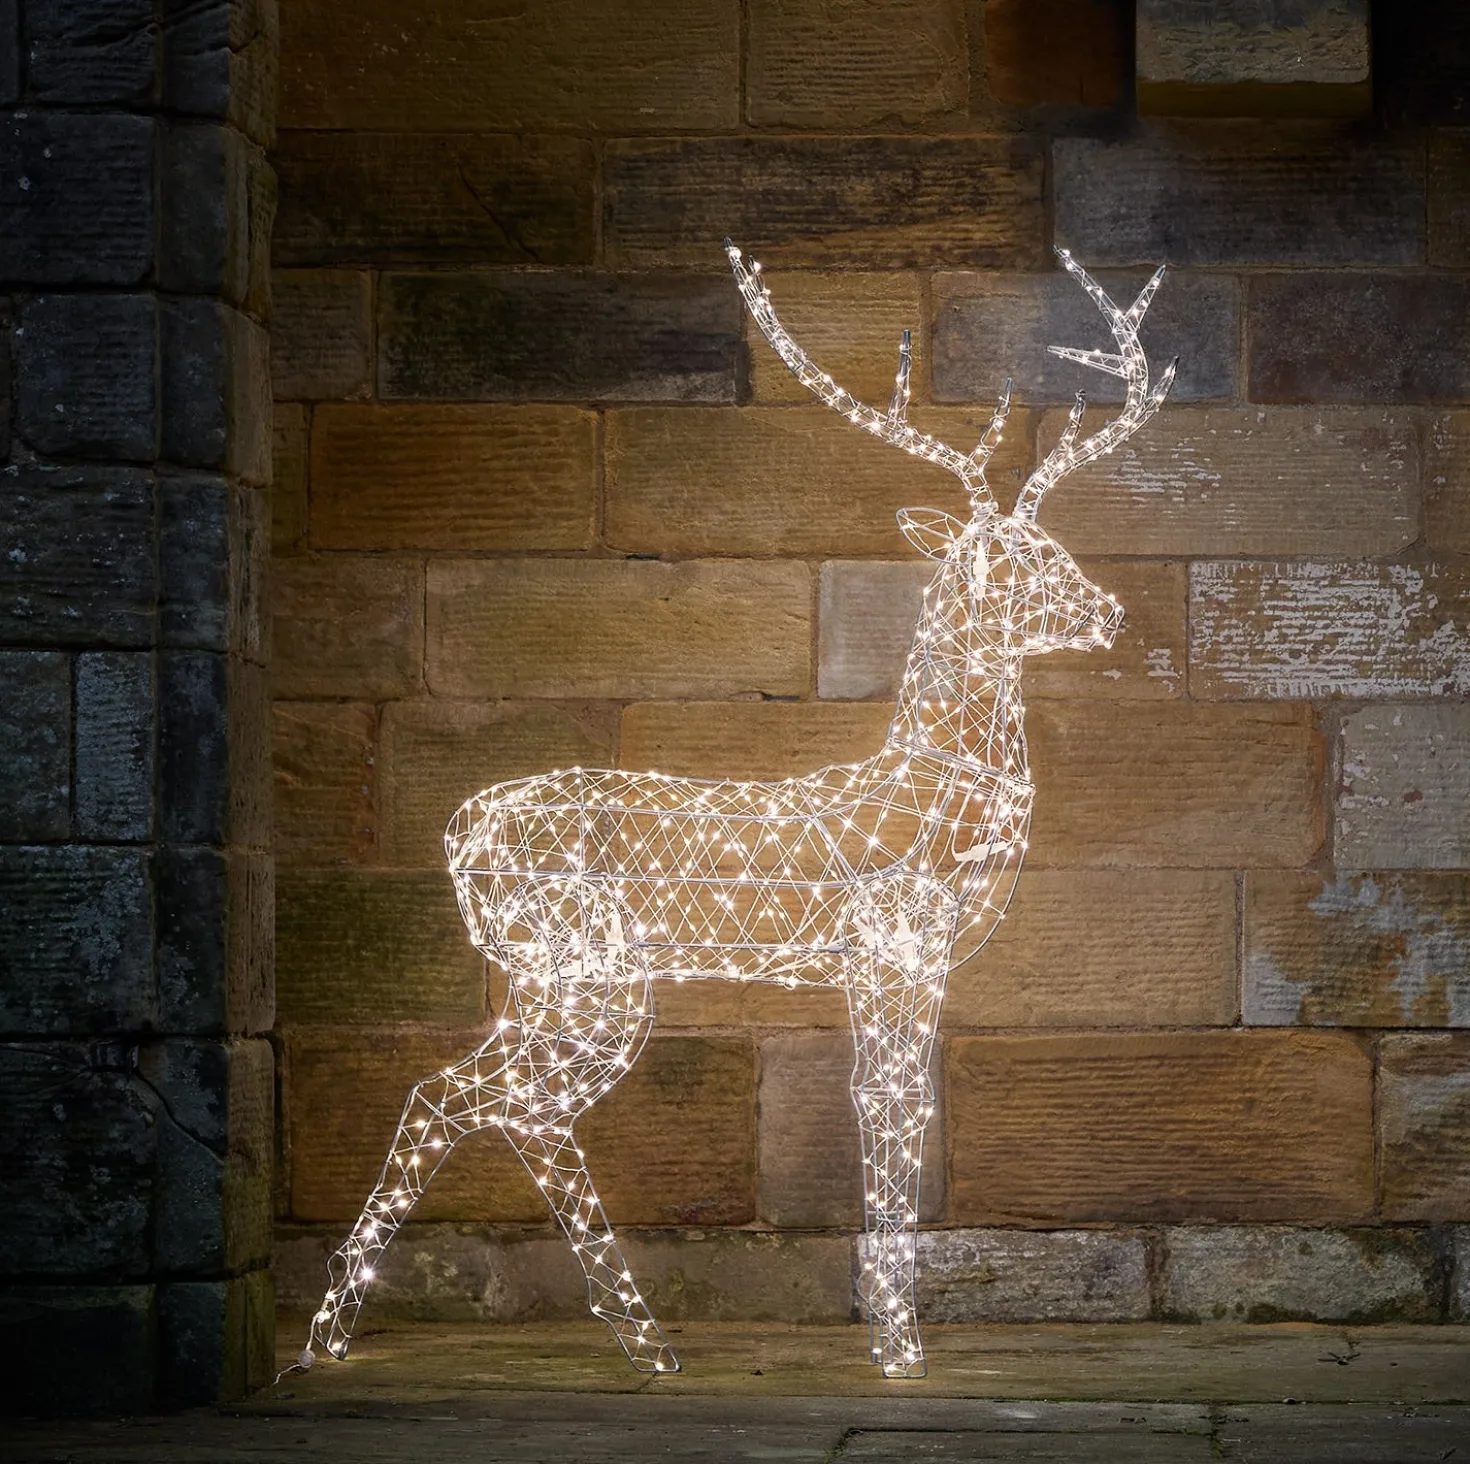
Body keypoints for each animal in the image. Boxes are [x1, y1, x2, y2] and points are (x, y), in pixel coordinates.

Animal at [300, 242, 1176, 1382]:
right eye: (1001, 562)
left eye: (1055, 545)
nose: (1109, 611)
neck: (930, 790)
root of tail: (456, 834)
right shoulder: (892, 943)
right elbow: (888, 1110)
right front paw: (900, 1348)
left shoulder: (913, 963)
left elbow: (904, 1111)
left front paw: (896, 1335)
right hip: (584, 970)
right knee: (479, 1101)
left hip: (550, 979)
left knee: (480, 1102)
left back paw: (605, 1339)